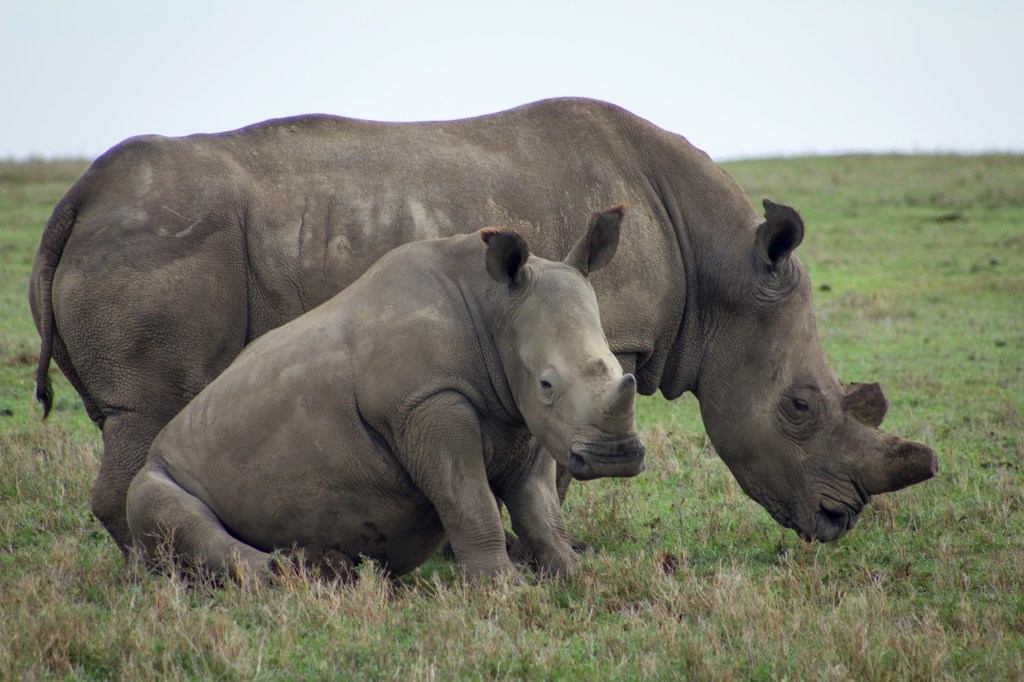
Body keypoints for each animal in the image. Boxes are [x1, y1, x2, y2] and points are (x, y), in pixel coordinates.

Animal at [126, 209, 643, 580]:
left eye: (623, 369)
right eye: (547, 384)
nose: (615, 457)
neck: (495, 307)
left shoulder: (522, 416)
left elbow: (539, 508)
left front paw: (576, 576)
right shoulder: (426, 403)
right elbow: (470, 500)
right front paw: (501, 589)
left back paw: (326, 568)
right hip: (158, 467)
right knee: (164, 506)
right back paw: (283, 575)